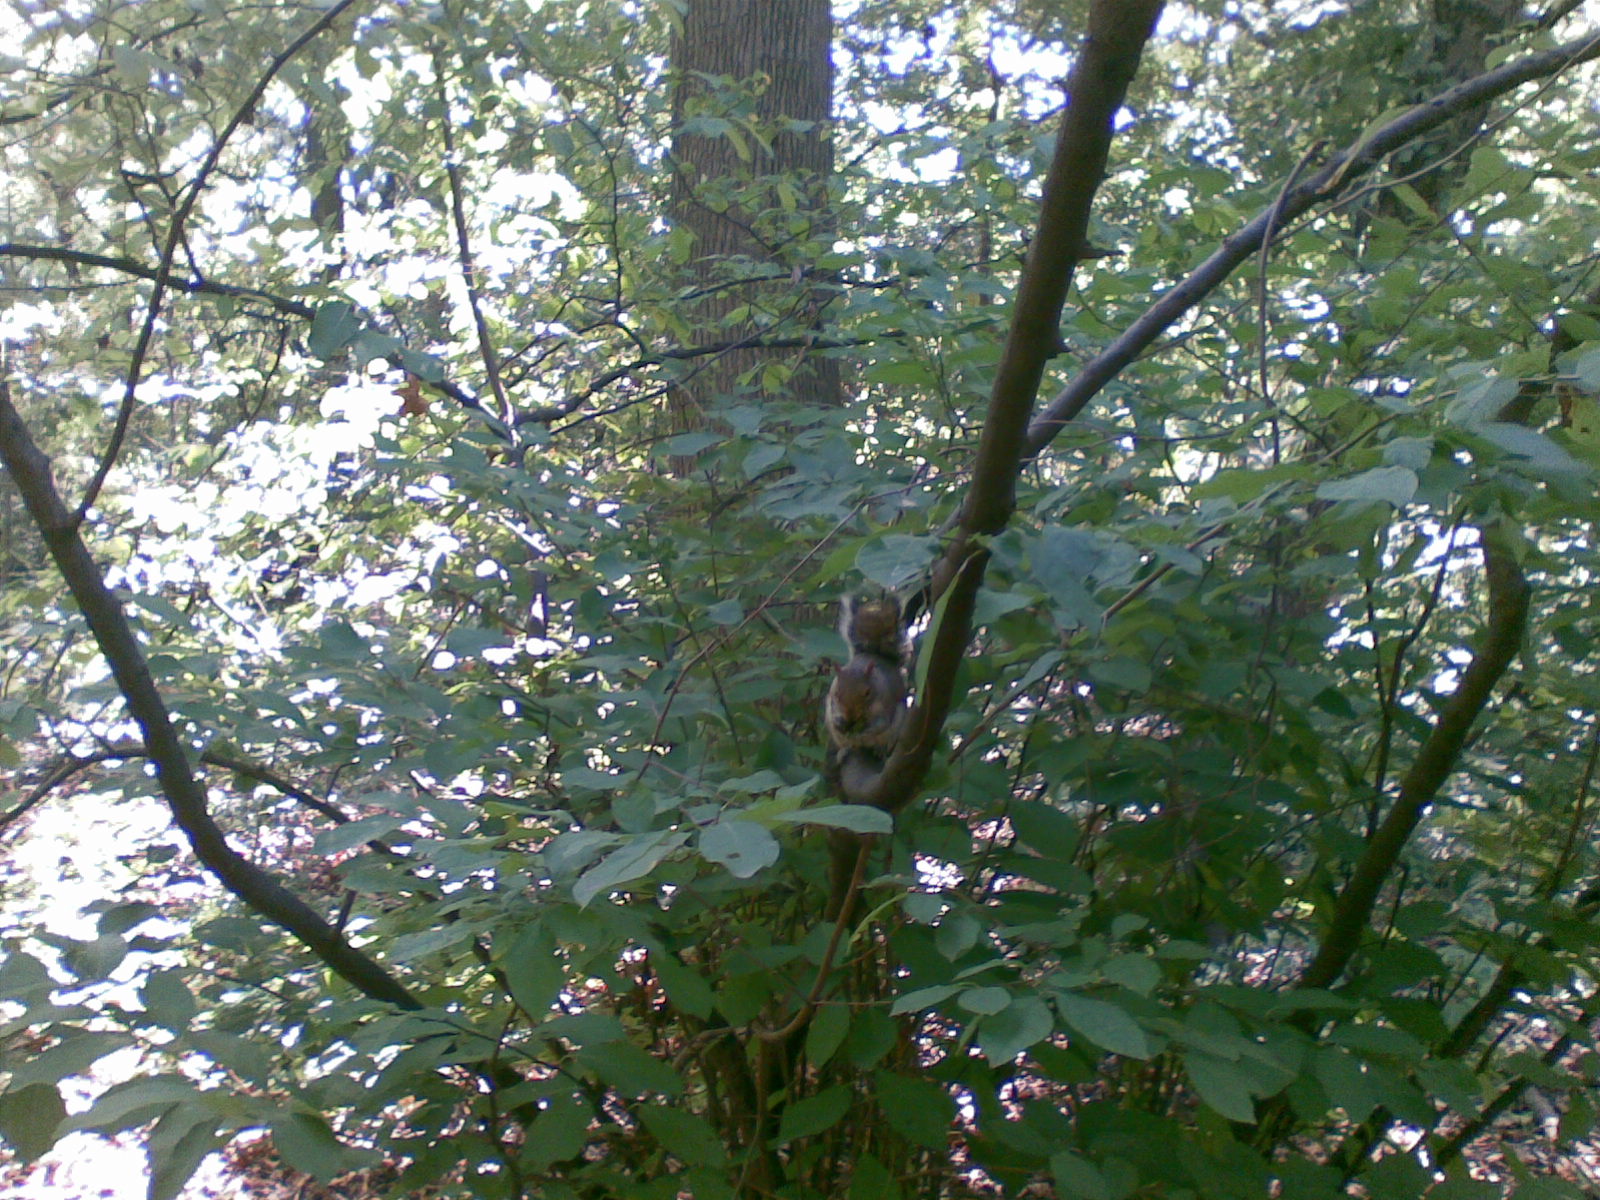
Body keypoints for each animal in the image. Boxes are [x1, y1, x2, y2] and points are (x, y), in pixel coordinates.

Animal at [823, 596, 909, 805]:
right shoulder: (832, 704)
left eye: (868, 692)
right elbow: (835, 717)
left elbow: (879, 724)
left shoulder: (885, 706)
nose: (850, 716)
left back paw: (878, 749)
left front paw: (863, 733)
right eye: (836, 693)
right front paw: (841, 724)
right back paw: (844, 751)